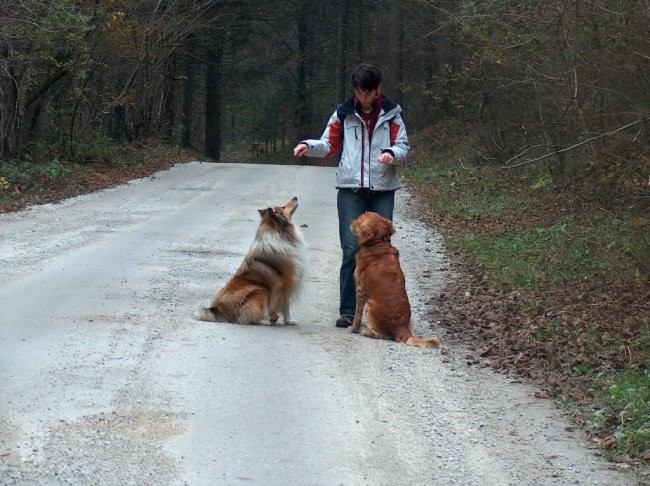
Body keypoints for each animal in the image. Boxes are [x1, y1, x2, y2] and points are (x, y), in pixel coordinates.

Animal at [192, 197, 306, 326]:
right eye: (283, 207)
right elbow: (286, 306)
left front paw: (289, 321)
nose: (295, 197)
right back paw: (265, 320)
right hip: (260, 291)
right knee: (246, 318)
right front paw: (287, 320)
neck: (280, 233)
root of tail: (218, 309)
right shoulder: (286, 284)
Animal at [346, 211, 438, 348]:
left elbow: (357, 315)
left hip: (369, 305)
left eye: (359, 219)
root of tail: (402, 329)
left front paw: (353, 328)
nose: (349, 221)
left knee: (378, 334)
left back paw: (366, 331)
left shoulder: (360, 290)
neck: (378, 243)